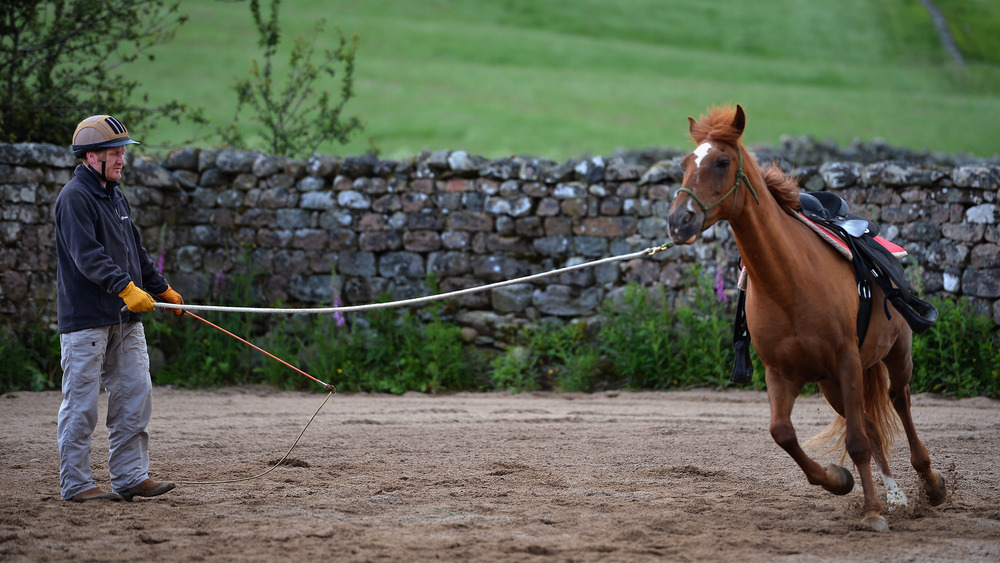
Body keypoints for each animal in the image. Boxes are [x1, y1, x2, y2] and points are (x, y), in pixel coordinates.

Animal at [668, 104, 948, 532]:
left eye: (722, 162)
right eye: (685, 163)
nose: (678, 221)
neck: (789, 282)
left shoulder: (847, 361)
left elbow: (857, 443)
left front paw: (871, 512)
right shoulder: (782, 373)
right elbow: (783, 433)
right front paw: (838, 480)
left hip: (894, 354)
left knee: (899, 402)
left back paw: (929, 484)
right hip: (835, 386)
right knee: (869, 425)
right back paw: (895, 495)